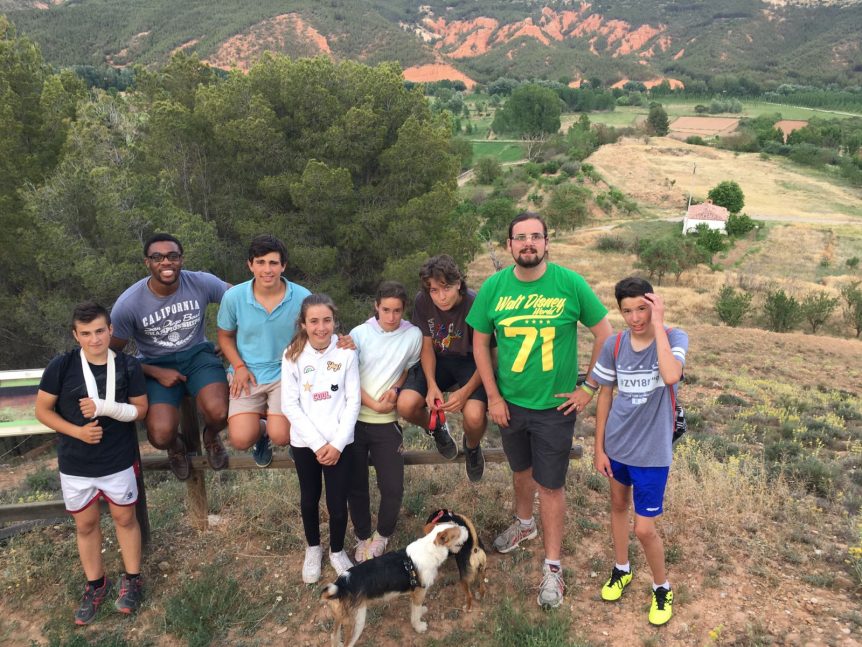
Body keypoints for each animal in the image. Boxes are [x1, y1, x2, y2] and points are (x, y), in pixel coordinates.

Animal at [320, 522, 468, 647]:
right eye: (456, 534)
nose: (467, 528)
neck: (430, 548)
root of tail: (341, 584)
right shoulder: (419, 592)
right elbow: (415, 614)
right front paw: (419, 627)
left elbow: (417, 609)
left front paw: (422, 611)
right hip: (357, 622)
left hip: (341, 617)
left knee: (333, 636)